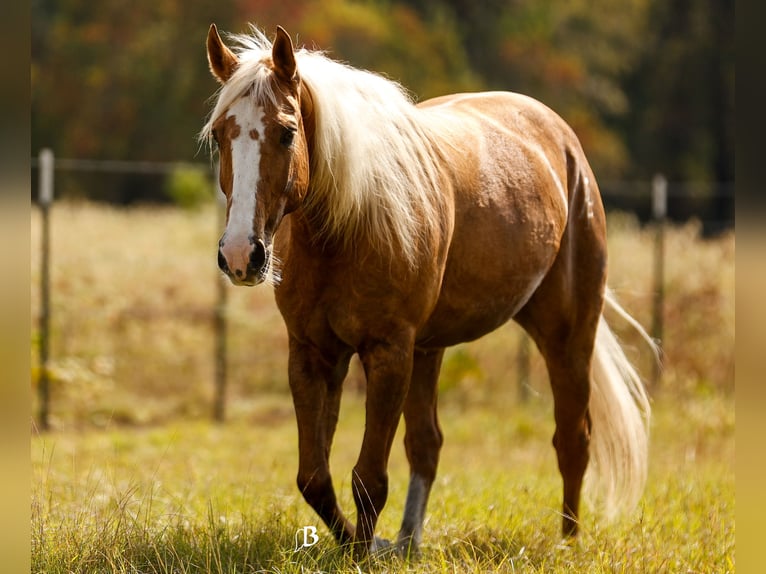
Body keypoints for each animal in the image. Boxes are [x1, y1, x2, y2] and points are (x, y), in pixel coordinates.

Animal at [201, 24, 653, 556]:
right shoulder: (314, 354)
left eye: (287, 132)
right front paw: (364, 545)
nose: (239, 254)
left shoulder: (388, 351)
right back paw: (408, 542)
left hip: (567, 334)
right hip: (430, 348)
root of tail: (562, 140)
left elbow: (368, 479)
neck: (350, 223)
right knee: (426, 444)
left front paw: (363, 553)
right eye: (219, 136)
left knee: (572, 439)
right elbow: (315, 477)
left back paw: (567, 541)